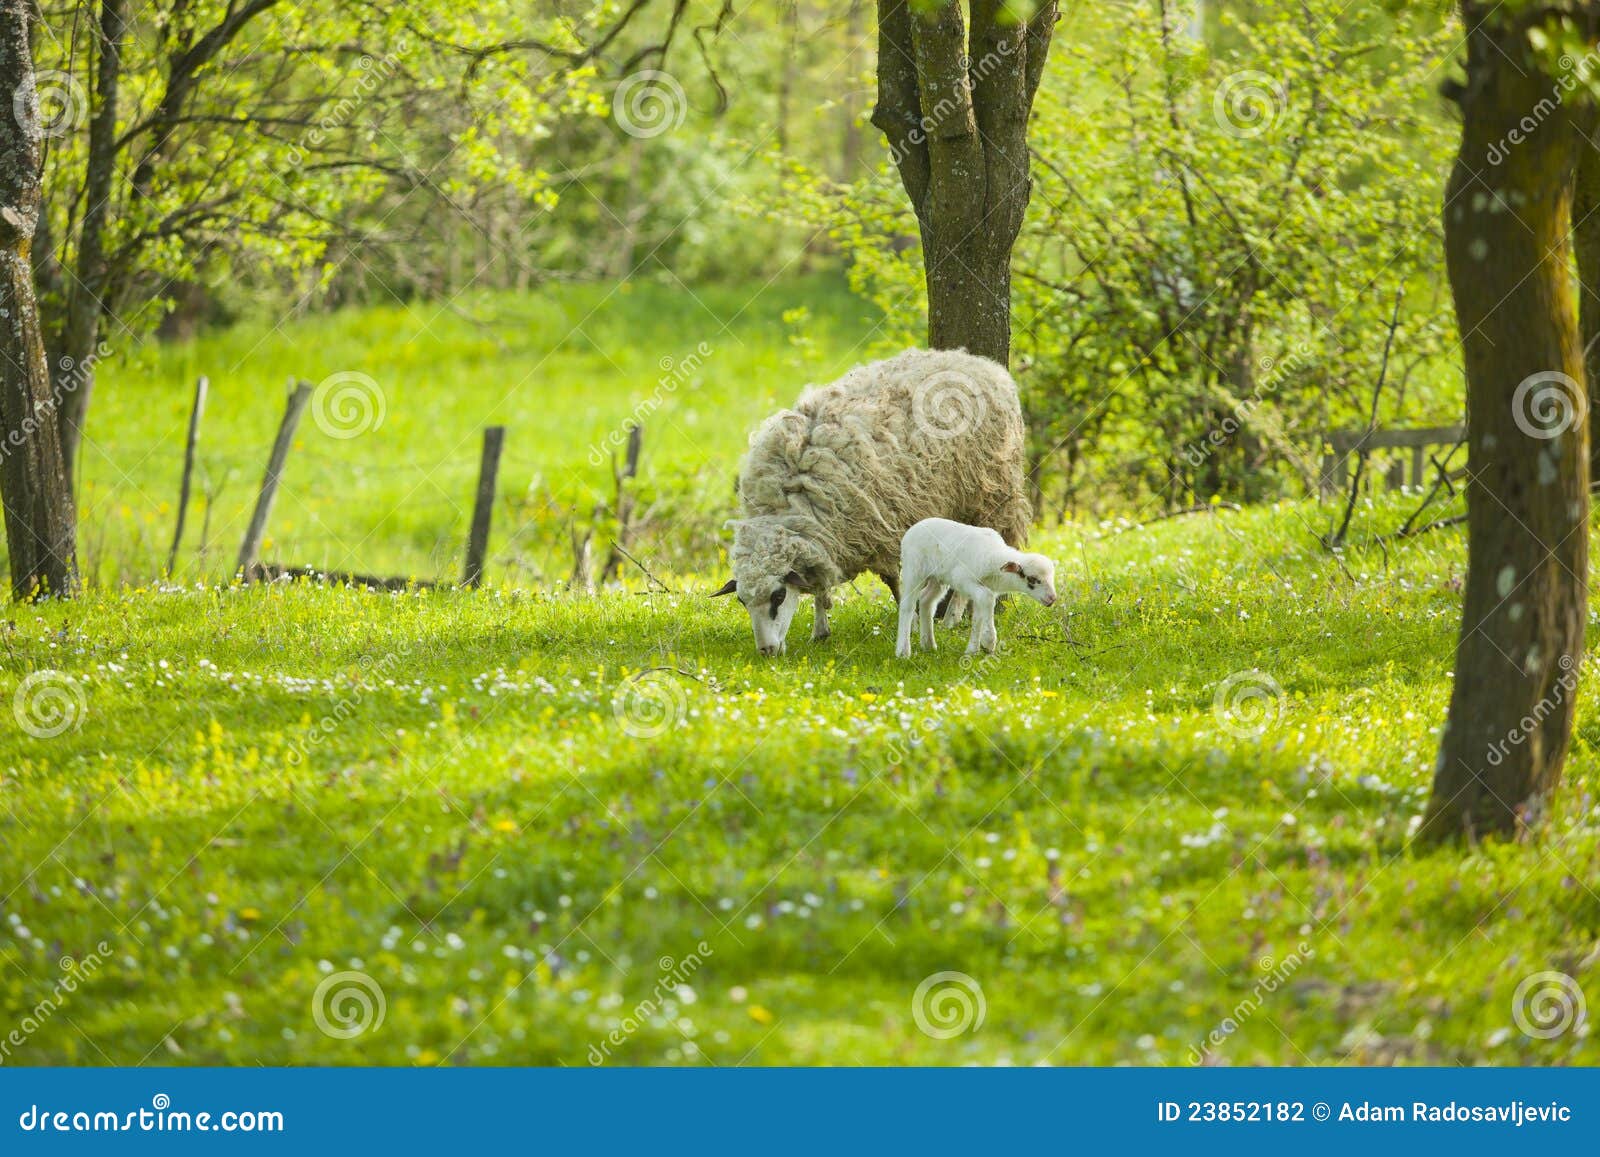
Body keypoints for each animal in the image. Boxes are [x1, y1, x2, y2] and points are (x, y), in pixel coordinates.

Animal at [711, 348, 1031, 656]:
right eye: (742, 601)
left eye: (778, 596)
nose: (766, 651)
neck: (790, 503)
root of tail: (979, 362)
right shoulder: (826, 536)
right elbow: (819, 583)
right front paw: (820, 629)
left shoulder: (885, 527)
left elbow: (893, 582)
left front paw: (910, 622)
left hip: (989, 495)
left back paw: (953, 616)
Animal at [894, 518, 1058, 659]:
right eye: (1033, 579)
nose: (1052, 599)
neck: (992, 557)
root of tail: (915, 527)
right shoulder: (962, 579)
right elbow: (987, 599)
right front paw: (989, 641)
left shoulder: (982, 587)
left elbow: (978, 615)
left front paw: (972, 650)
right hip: (913, 568)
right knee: (907, 605)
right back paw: (903, 652)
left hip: (938, 577)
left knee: (926, 600)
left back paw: (928, 645)